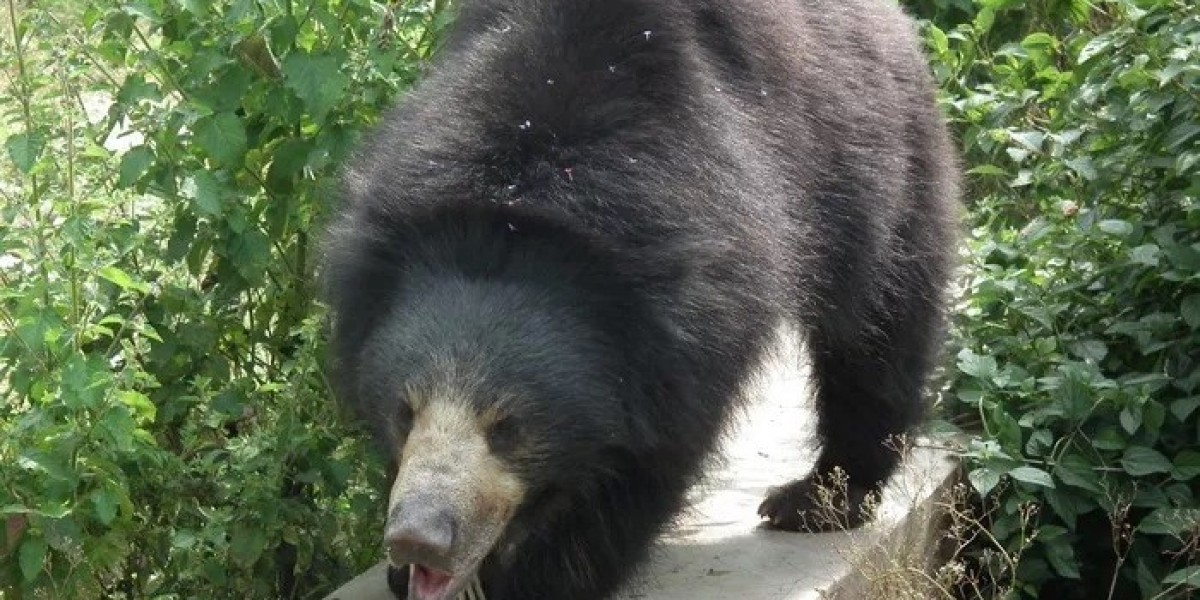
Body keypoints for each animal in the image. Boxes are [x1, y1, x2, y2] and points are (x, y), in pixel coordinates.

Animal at [319, 0, 961, 598]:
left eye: (508, 426)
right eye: (404, 411)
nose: (416, 539)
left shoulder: (694, 313)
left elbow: (646, 459)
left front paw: (536, 578)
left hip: (884, 162)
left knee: (880, 325)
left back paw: (818, 499)